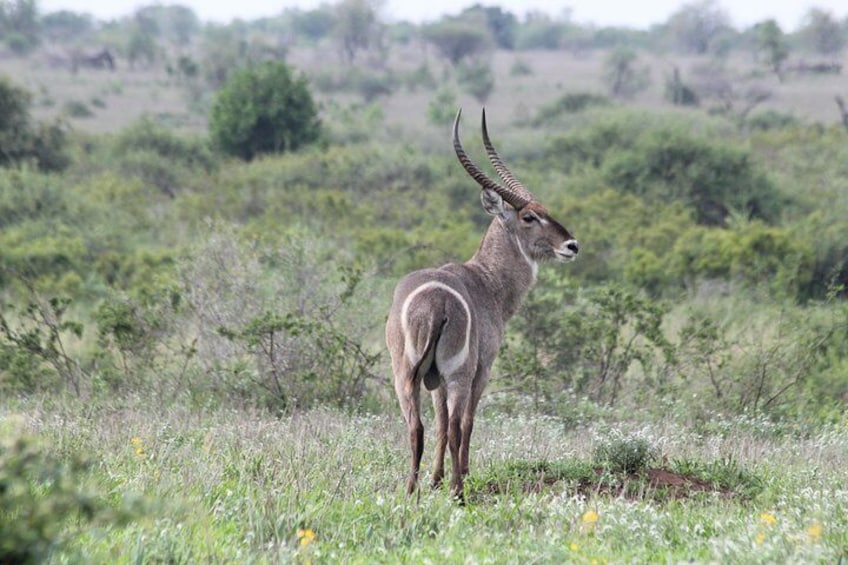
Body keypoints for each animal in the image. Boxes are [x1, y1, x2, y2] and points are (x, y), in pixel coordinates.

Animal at [388, 107, 580, 498]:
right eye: (528, 216)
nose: (572, 245)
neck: (485, 281)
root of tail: (434, 302)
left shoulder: (435, 379)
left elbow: (441, 424)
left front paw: (435, 479)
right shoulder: (482, 368)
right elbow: (466, 423)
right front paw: (460, 474)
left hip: (405, 374)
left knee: (417, 427)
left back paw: (412, 491)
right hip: (460, 374)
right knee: (457, 425)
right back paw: (459, 491)